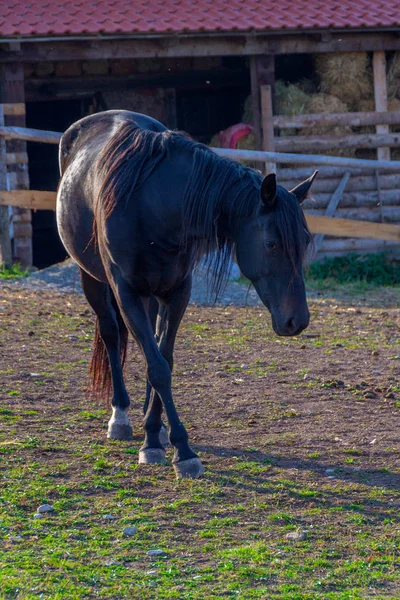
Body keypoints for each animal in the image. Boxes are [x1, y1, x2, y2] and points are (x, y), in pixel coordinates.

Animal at [57, 110, 316, 478]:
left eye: (305, 240)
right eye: (271, 244)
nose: (298, 321)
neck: (152, 206)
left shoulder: (177, 293)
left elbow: (164, 360)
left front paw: (156, 435)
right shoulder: (126, 293)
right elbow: (158, 367)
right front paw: (182, 450)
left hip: (151, 296)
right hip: (92, 280)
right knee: (110, 334)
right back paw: (120, 415)